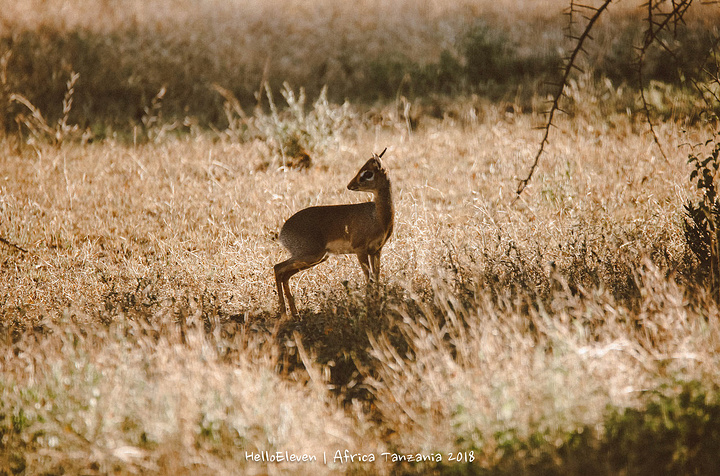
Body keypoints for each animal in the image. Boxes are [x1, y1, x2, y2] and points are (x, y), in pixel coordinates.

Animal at [274, 150, 394, 316]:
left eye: (368, 173)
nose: (350, 185)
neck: (377, 217)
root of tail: (283, 231)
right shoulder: (360, 250)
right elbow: (369, 279)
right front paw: (371, 308)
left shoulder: (376, 251)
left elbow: (376, 278)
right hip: (310, 256)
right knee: (277, 268)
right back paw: (284, 314)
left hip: (316, 258)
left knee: (284, 274)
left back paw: (294, 313)